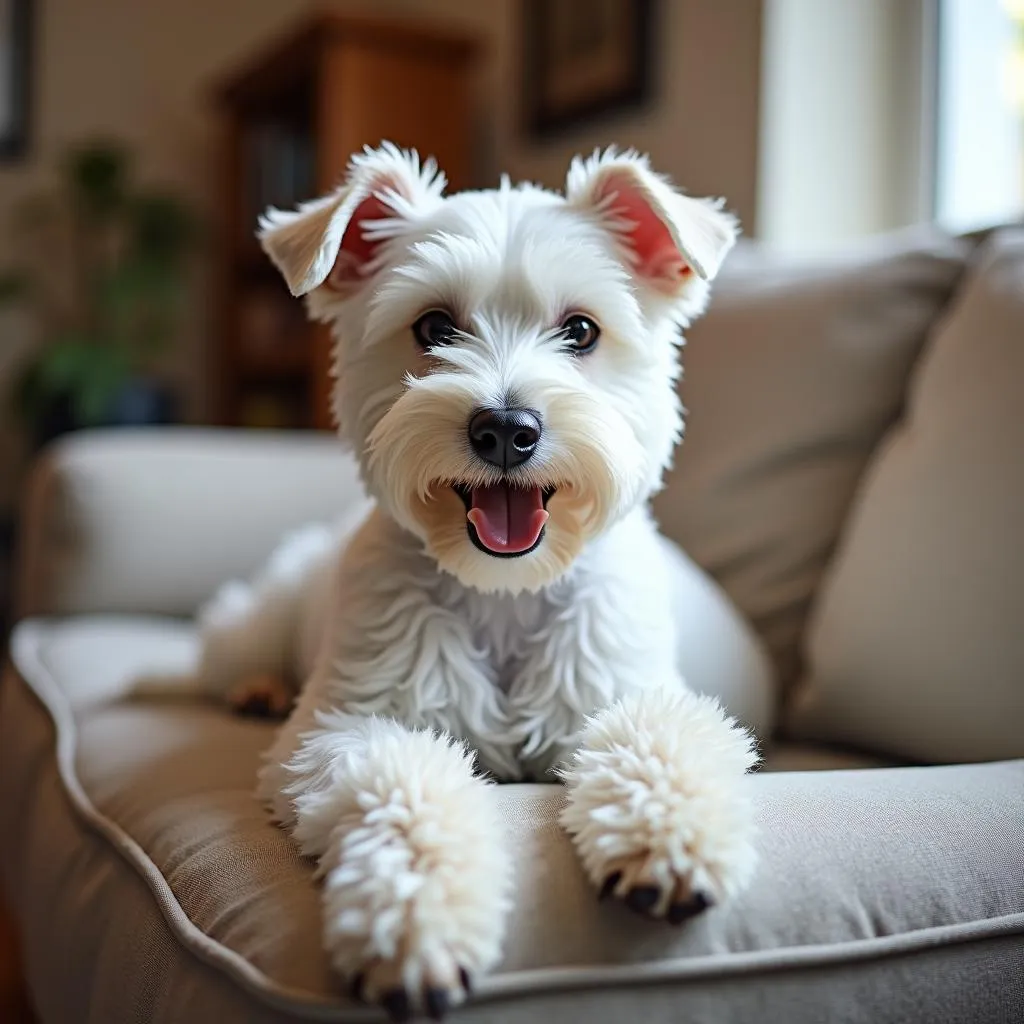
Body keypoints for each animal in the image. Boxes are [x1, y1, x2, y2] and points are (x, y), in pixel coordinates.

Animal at [190, 146, 761, 1024]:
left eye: (581, 330)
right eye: (433, 327)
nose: (506, 429)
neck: (504, 592)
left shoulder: (622, 689)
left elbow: (658, 739)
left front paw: (667, 840)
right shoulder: (350, 725)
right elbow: (404, 791)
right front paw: (416, 923)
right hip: (255, 619)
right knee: (227, 649)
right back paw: (255, 688)